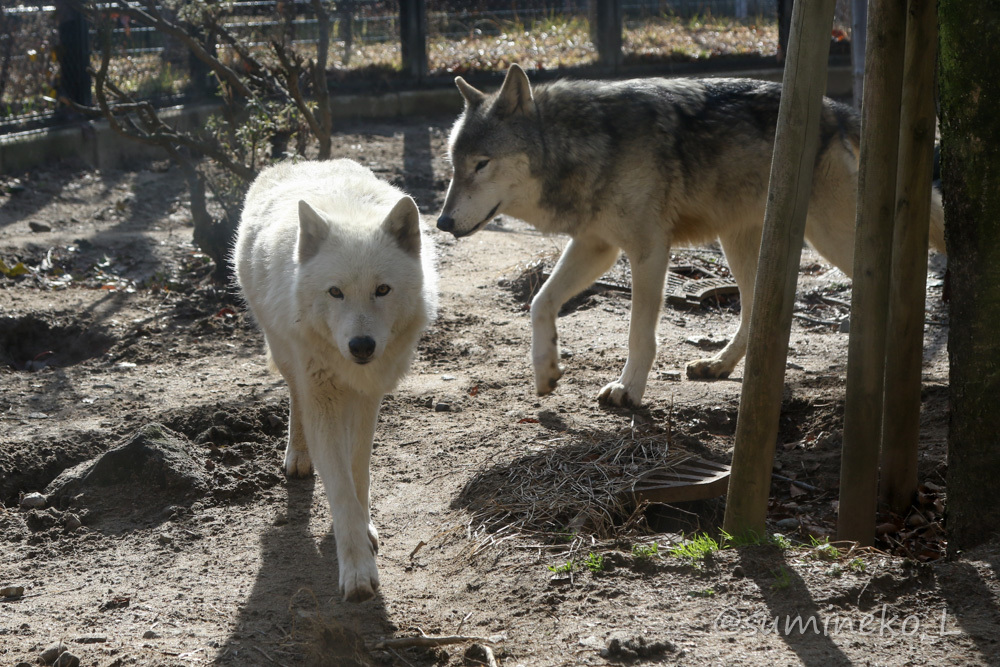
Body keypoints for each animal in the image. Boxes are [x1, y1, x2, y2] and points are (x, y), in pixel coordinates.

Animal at [236, 159, 440, 604]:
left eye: (382, 289)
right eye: (335, 292)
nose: (361, 345)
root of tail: (299, 161)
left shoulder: (368, 395)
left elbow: (357, 471)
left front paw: (364, 528)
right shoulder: (323, 396)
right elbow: (341, 489)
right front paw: (358, 572)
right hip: (286, 355)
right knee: (295, 396)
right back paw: (298, 455)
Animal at [438, 65, 944, 408]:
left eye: (481, 164)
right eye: (454, 165)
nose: (441, 223)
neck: (582, 146)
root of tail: (833, 109)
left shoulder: (647, 251)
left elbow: (639, 334)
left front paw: (628, 390)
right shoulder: (597, 246)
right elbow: (540, 302)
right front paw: (546, 371)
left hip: (832, 238)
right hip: (744, 246)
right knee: (757, 311)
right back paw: (719, 365)